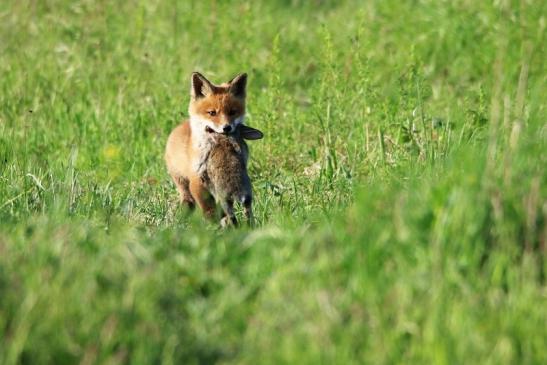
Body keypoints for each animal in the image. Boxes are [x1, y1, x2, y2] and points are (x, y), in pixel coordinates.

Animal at [165, 72, 264, 223]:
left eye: (232, 112)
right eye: (212, 113)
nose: (227, 128)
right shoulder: (196, 179)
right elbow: (209, 209)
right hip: (181, 181)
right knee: (188, 200)